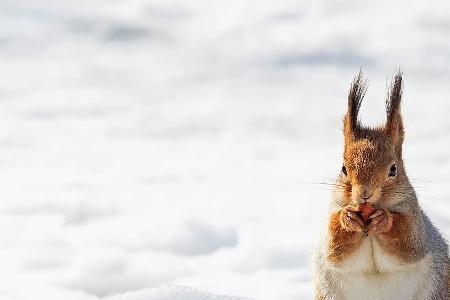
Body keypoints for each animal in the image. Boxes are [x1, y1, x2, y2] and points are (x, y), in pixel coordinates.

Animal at [312, 71, 450, 298]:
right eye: (343, 169)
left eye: (393, 169)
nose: (364, 193)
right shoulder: (334, 208)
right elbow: (335, 249)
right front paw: (347, 218)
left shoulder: (414, 220)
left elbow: (407, 243)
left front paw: (384, 220)